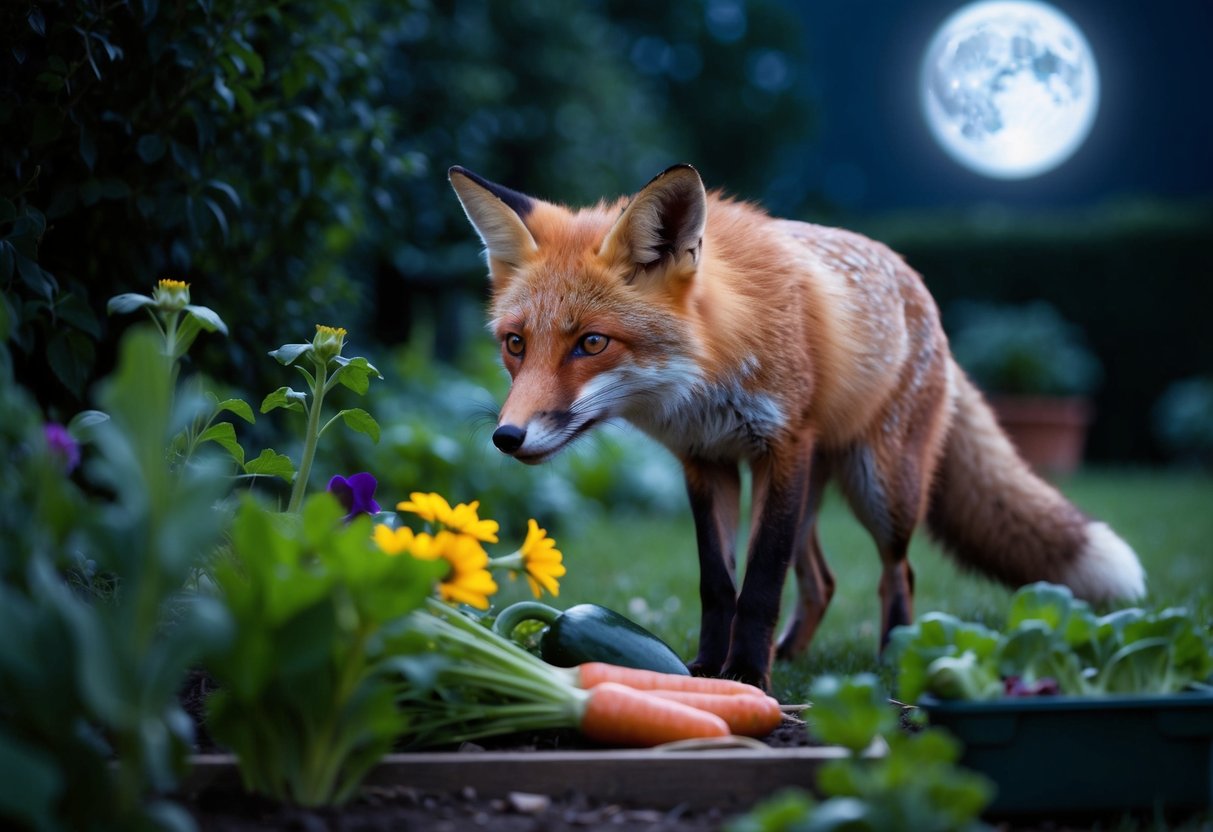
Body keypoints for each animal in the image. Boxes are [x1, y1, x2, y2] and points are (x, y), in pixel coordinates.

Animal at [448, 163, 1146, 691]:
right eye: (515, 344)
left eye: (591, 343)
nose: (507, 438)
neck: (708, 371)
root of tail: (922, 292)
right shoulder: (706, 462)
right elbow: (718, 584)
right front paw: (705, 669)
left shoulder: (781, 448)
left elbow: (759, 583)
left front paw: (746, 677)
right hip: (813, 491)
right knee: (822, 582)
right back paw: (794, 653)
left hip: (879, 489)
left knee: (899, 572)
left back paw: (893, 654)